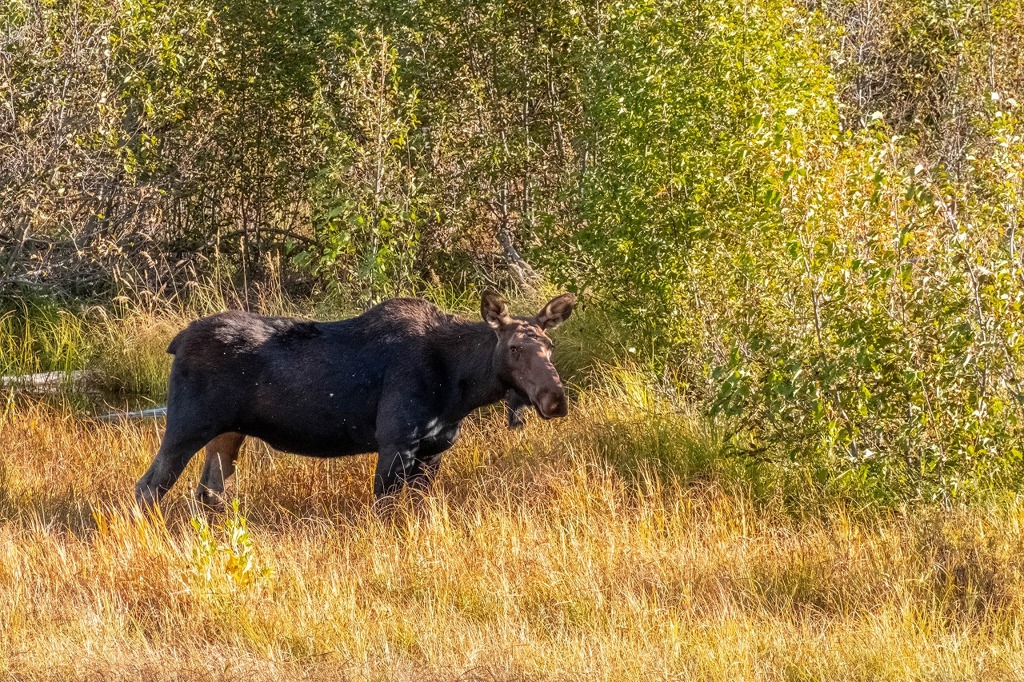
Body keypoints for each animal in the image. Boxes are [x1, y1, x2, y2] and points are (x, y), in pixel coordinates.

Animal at [134, 288, 577, 507]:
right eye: (515, 348)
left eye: (550, 346)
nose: (555, 398)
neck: (461, 386)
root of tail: (177, 342)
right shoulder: (396, 441)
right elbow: (387, 509)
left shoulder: (434, 448)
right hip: (187, 426)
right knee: (148, 488)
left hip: (227, 434)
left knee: (209, 494)